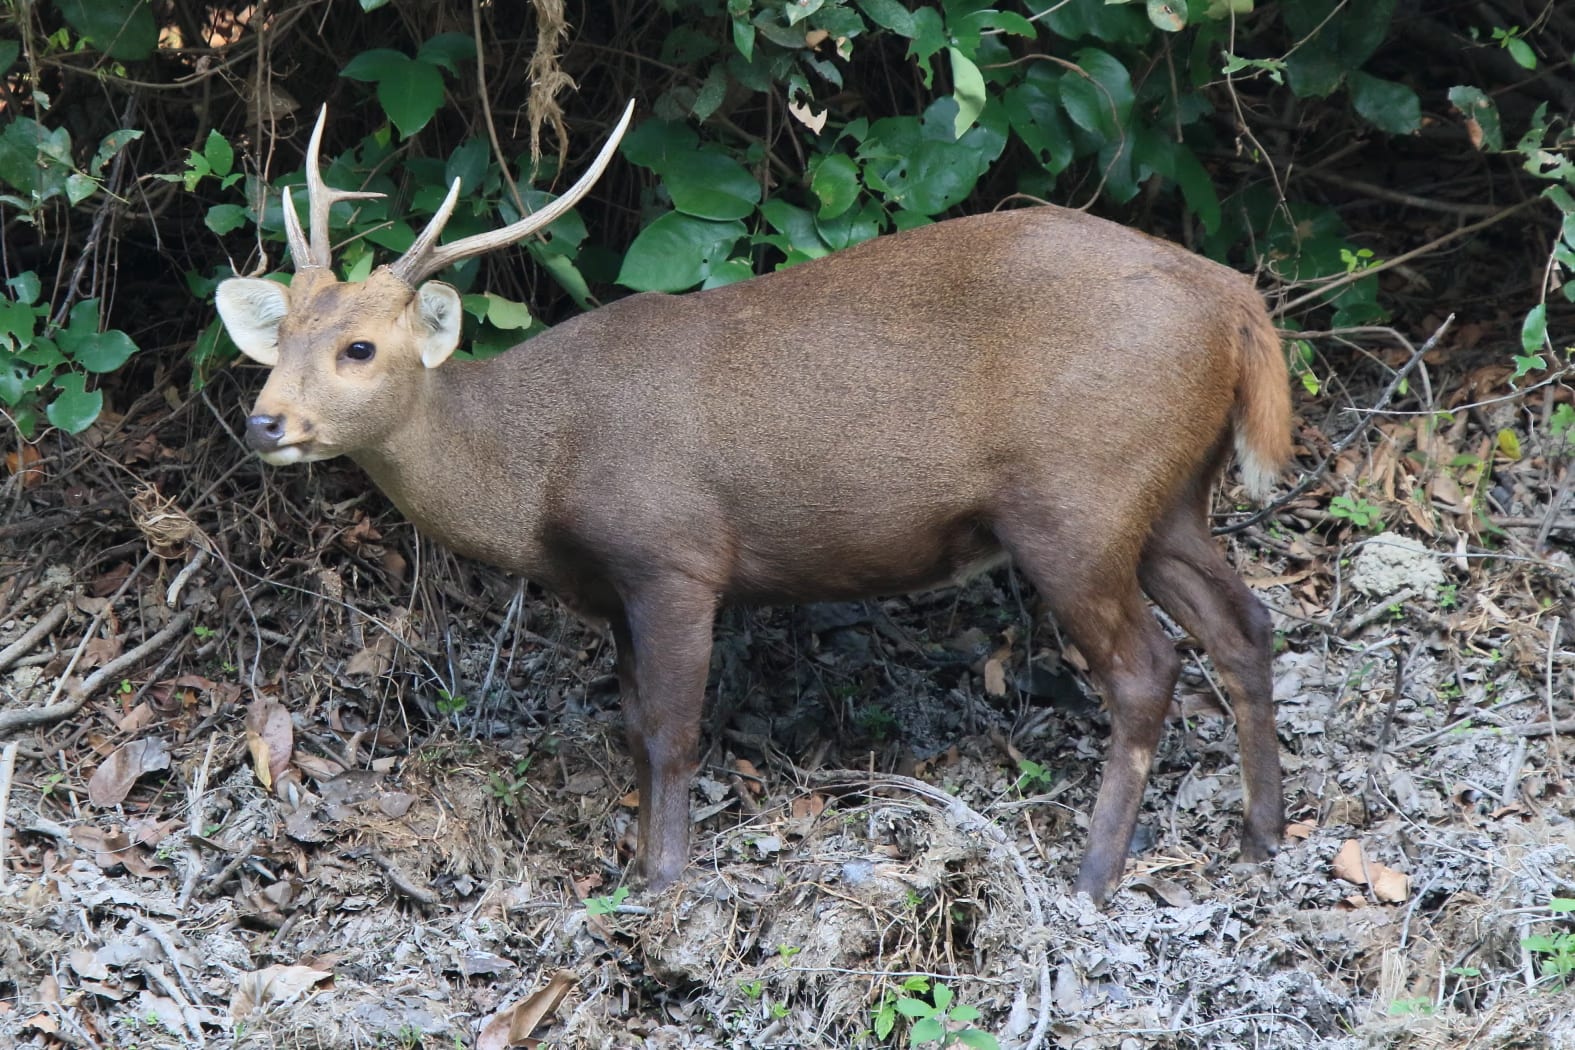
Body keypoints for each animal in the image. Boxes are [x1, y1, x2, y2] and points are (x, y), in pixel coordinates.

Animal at [214, 101, 1292, 906]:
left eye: (360, 348)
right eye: (282, 338)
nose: (265, 421)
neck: (543, 468)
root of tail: (1236, 300)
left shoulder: (673, 552)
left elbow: (670, 730)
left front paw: (663, 882)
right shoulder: (616, 586)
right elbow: (632, 723)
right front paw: (637, 866)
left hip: (1078, 495)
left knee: (1148, 669)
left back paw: (1094, 875)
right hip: (1166, 497)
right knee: (1243, 623)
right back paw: (1261, 837)